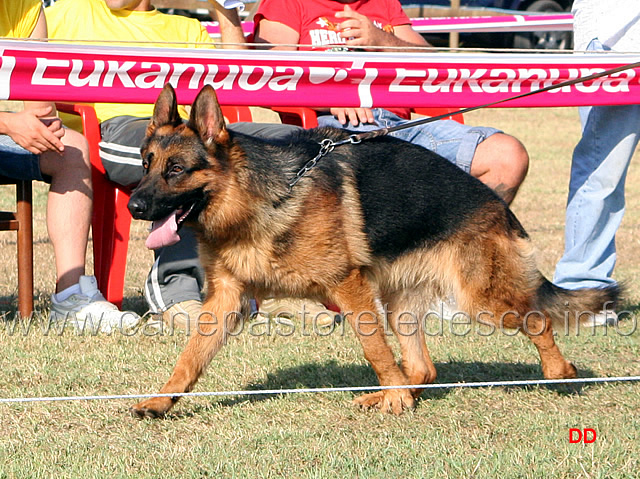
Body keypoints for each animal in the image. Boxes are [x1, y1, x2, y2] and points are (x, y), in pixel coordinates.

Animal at [126, 84, 620, 418]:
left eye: (176, 169)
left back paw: (558, 370)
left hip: (481, 299)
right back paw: (397, 393)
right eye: (146, 164)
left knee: (536, 319)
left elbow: (375, 349)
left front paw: (395, 398)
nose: (134, 206)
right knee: (424, 368)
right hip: (400, 303)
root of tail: (500, 207)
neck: (260, 197)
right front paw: (162, 399)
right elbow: (190, 356)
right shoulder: (225, 300)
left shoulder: (348, 287)